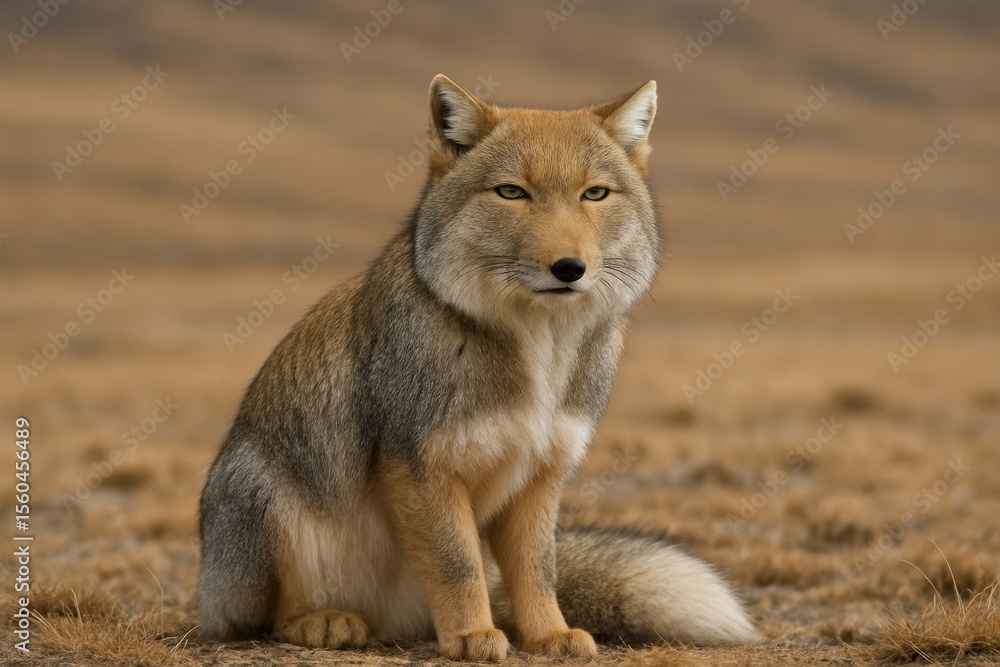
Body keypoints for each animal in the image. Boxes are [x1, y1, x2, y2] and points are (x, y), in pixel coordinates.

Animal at [198, 74, 756, 661]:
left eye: (595, 194)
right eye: (511, 192)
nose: (569, 268)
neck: (539, 354)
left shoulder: (544, 472)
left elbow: (537, 572)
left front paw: (548, 635)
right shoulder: (422, 465)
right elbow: (456, 564)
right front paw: (469, 636)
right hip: (258, 496)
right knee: (263, 617)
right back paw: (322, 620)